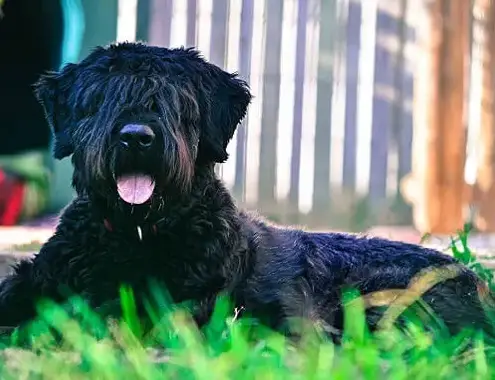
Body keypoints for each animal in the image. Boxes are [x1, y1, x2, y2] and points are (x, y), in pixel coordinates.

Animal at [0, 42, 494, 342]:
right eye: (101, 98)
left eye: (175, 101)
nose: (136, 137)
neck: (135, 234)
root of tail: (477, 283)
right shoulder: (37, 278)